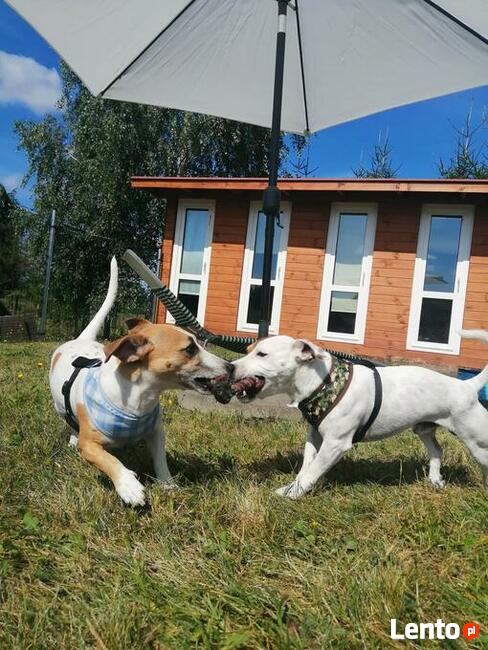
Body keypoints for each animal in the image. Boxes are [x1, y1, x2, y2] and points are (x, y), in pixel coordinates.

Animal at [49, 256, 233, 504]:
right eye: (190, 349)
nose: (230, 366)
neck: (139, 399)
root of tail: (82, 338)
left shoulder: (156, 431)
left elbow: (160, 458)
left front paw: (168, 484)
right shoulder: (89, 446)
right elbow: (108, 459)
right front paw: (128, 486)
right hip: (62, 408)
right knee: (70, 422)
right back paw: (72, 438)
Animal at [231, 332, 488, 498]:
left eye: (262, 354)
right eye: (247, 351)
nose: (230, 367)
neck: (324, 382)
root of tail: (467, 386)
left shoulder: (335, 443)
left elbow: (312, 471)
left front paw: (292, 494)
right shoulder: (315, 436)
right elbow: (306, 465)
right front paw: (293, 486)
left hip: (477, 442)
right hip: (424, 429)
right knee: (436, 450)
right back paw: (435, 480)